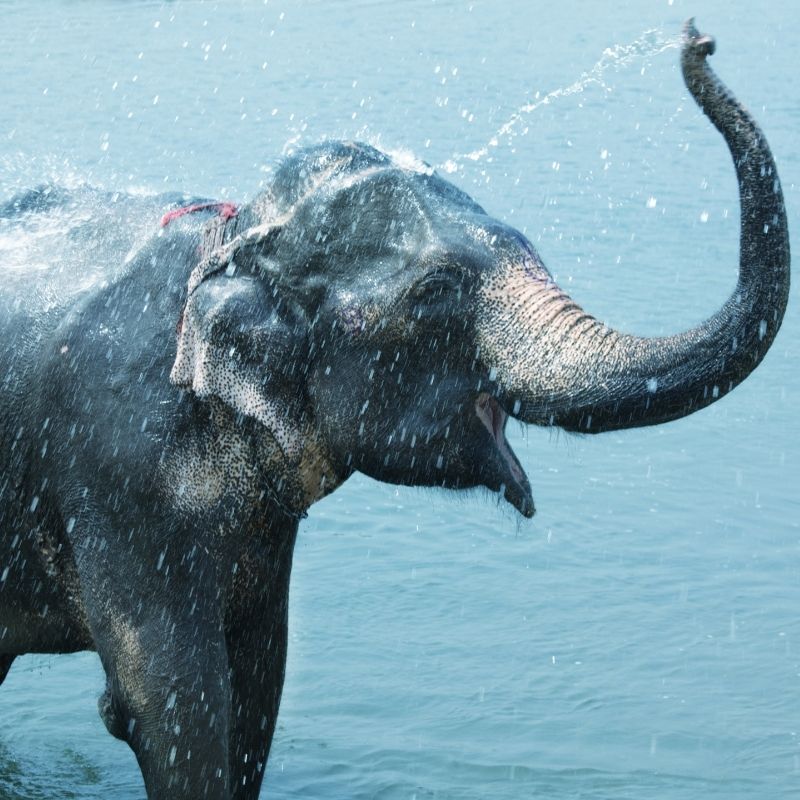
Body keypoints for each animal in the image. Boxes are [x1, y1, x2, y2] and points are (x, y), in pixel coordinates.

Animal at [0, 18, 788, 800]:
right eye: (434, 291)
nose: (697, 39)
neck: (234, 237)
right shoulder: (118, 471)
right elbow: (168, 704)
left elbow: (258, 682)